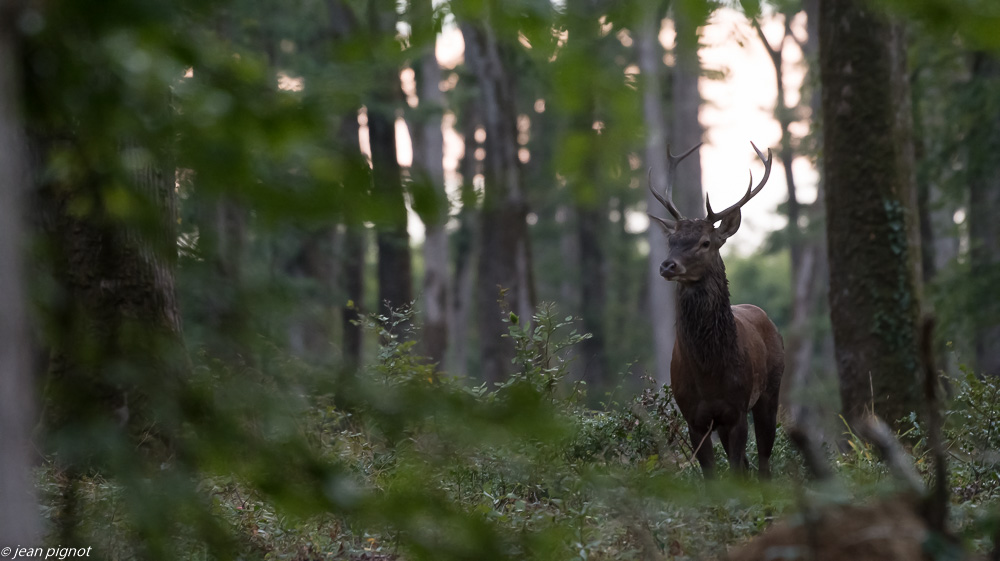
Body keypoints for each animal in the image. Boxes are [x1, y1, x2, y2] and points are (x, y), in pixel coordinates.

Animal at [648, 142, 784, 479]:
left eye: (705, 242)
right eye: (671, 240)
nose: (667, 265)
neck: (709, 374)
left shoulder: (735, 410)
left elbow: (735, 472)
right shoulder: (693, 416)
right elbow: (712, 476)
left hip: (770, 390)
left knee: (764, 462)